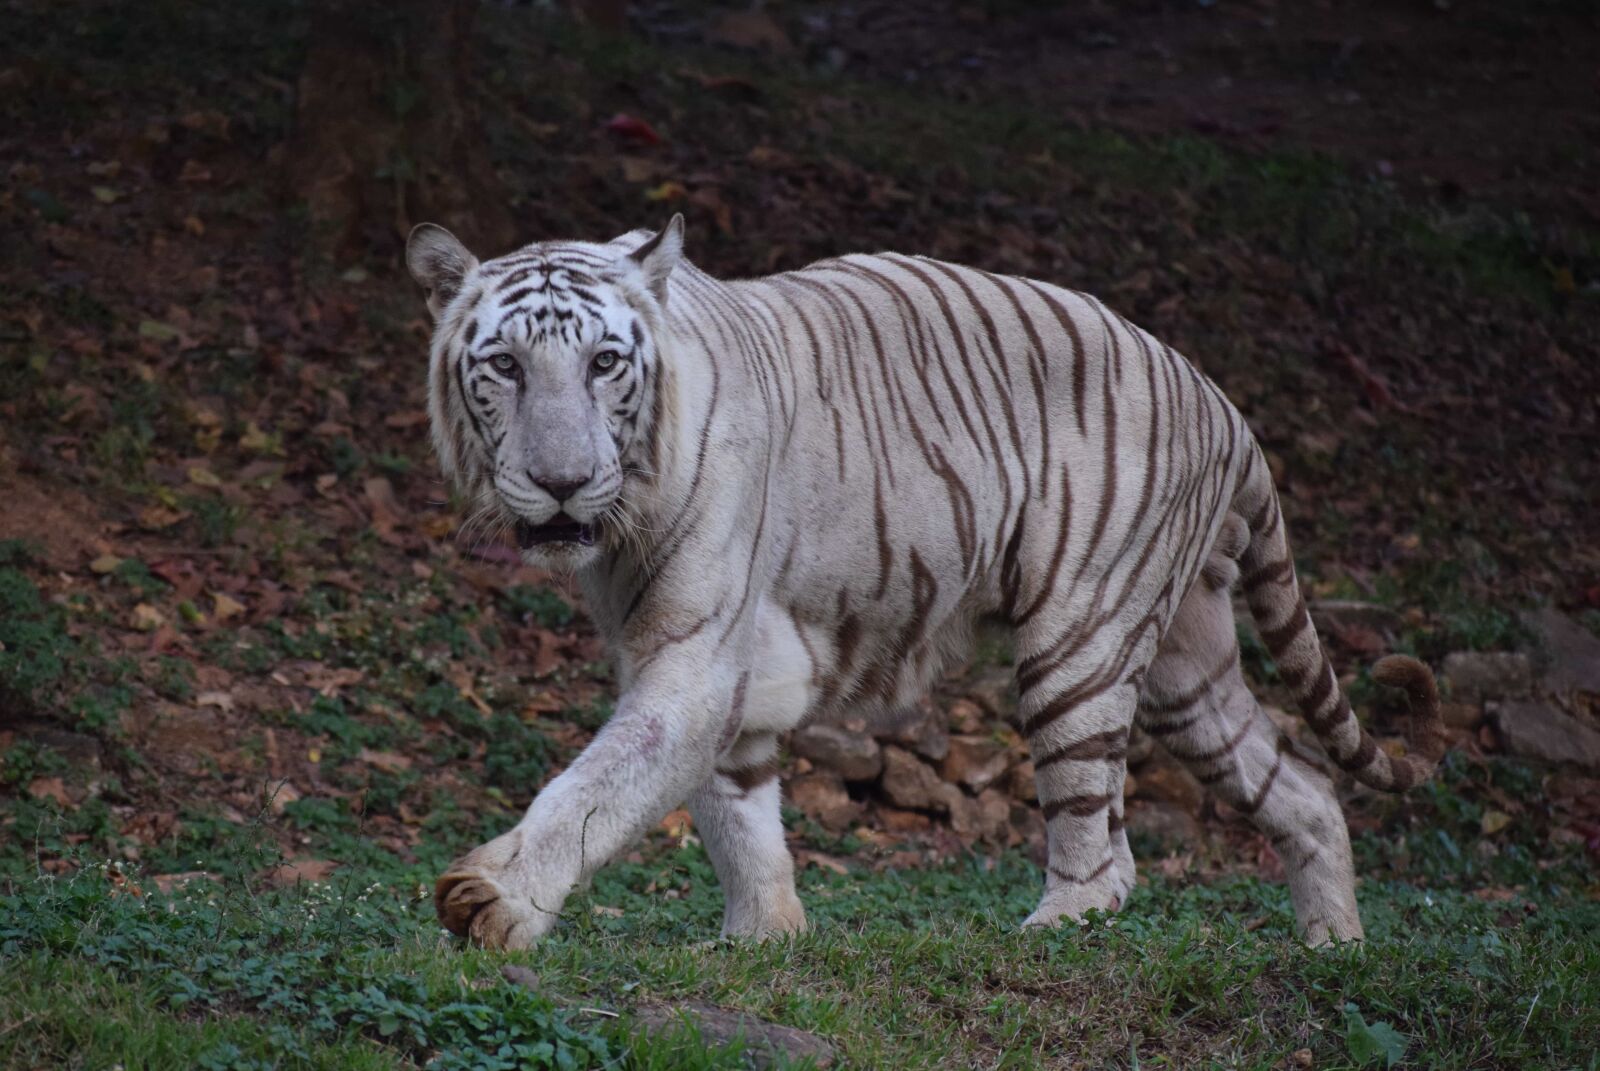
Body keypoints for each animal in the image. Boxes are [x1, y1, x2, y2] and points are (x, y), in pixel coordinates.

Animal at [405, 214, 1448, 951]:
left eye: (604, 362)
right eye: (505, 366)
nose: (562, 481)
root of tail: (1223, 401)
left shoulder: (693, 660)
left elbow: (599, 786)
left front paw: (492, 899)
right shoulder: (715, 662)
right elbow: (734, 807)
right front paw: (763, 936)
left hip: (1081, 641)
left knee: (1104, 848)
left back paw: (1047, 930)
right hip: (1186, 667)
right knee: (1303, 786)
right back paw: (1334, 948)